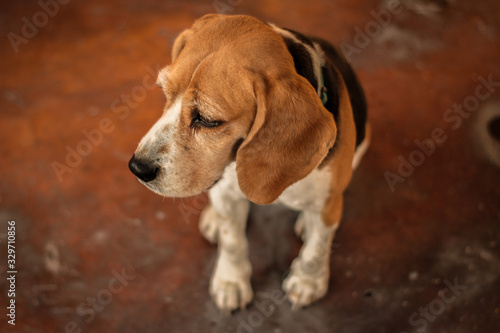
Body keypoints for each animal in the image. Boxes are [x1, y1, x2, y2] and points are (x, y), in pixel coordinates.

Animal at [129, 14, 370, 312]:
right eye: (164, 92)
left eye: (208, 120)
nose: (137, 168)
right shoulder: (226, 193)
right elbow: (232, 241)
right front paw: (231, 282)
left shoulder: (328, 202)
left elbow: (317, 247)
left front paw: (308, 281)